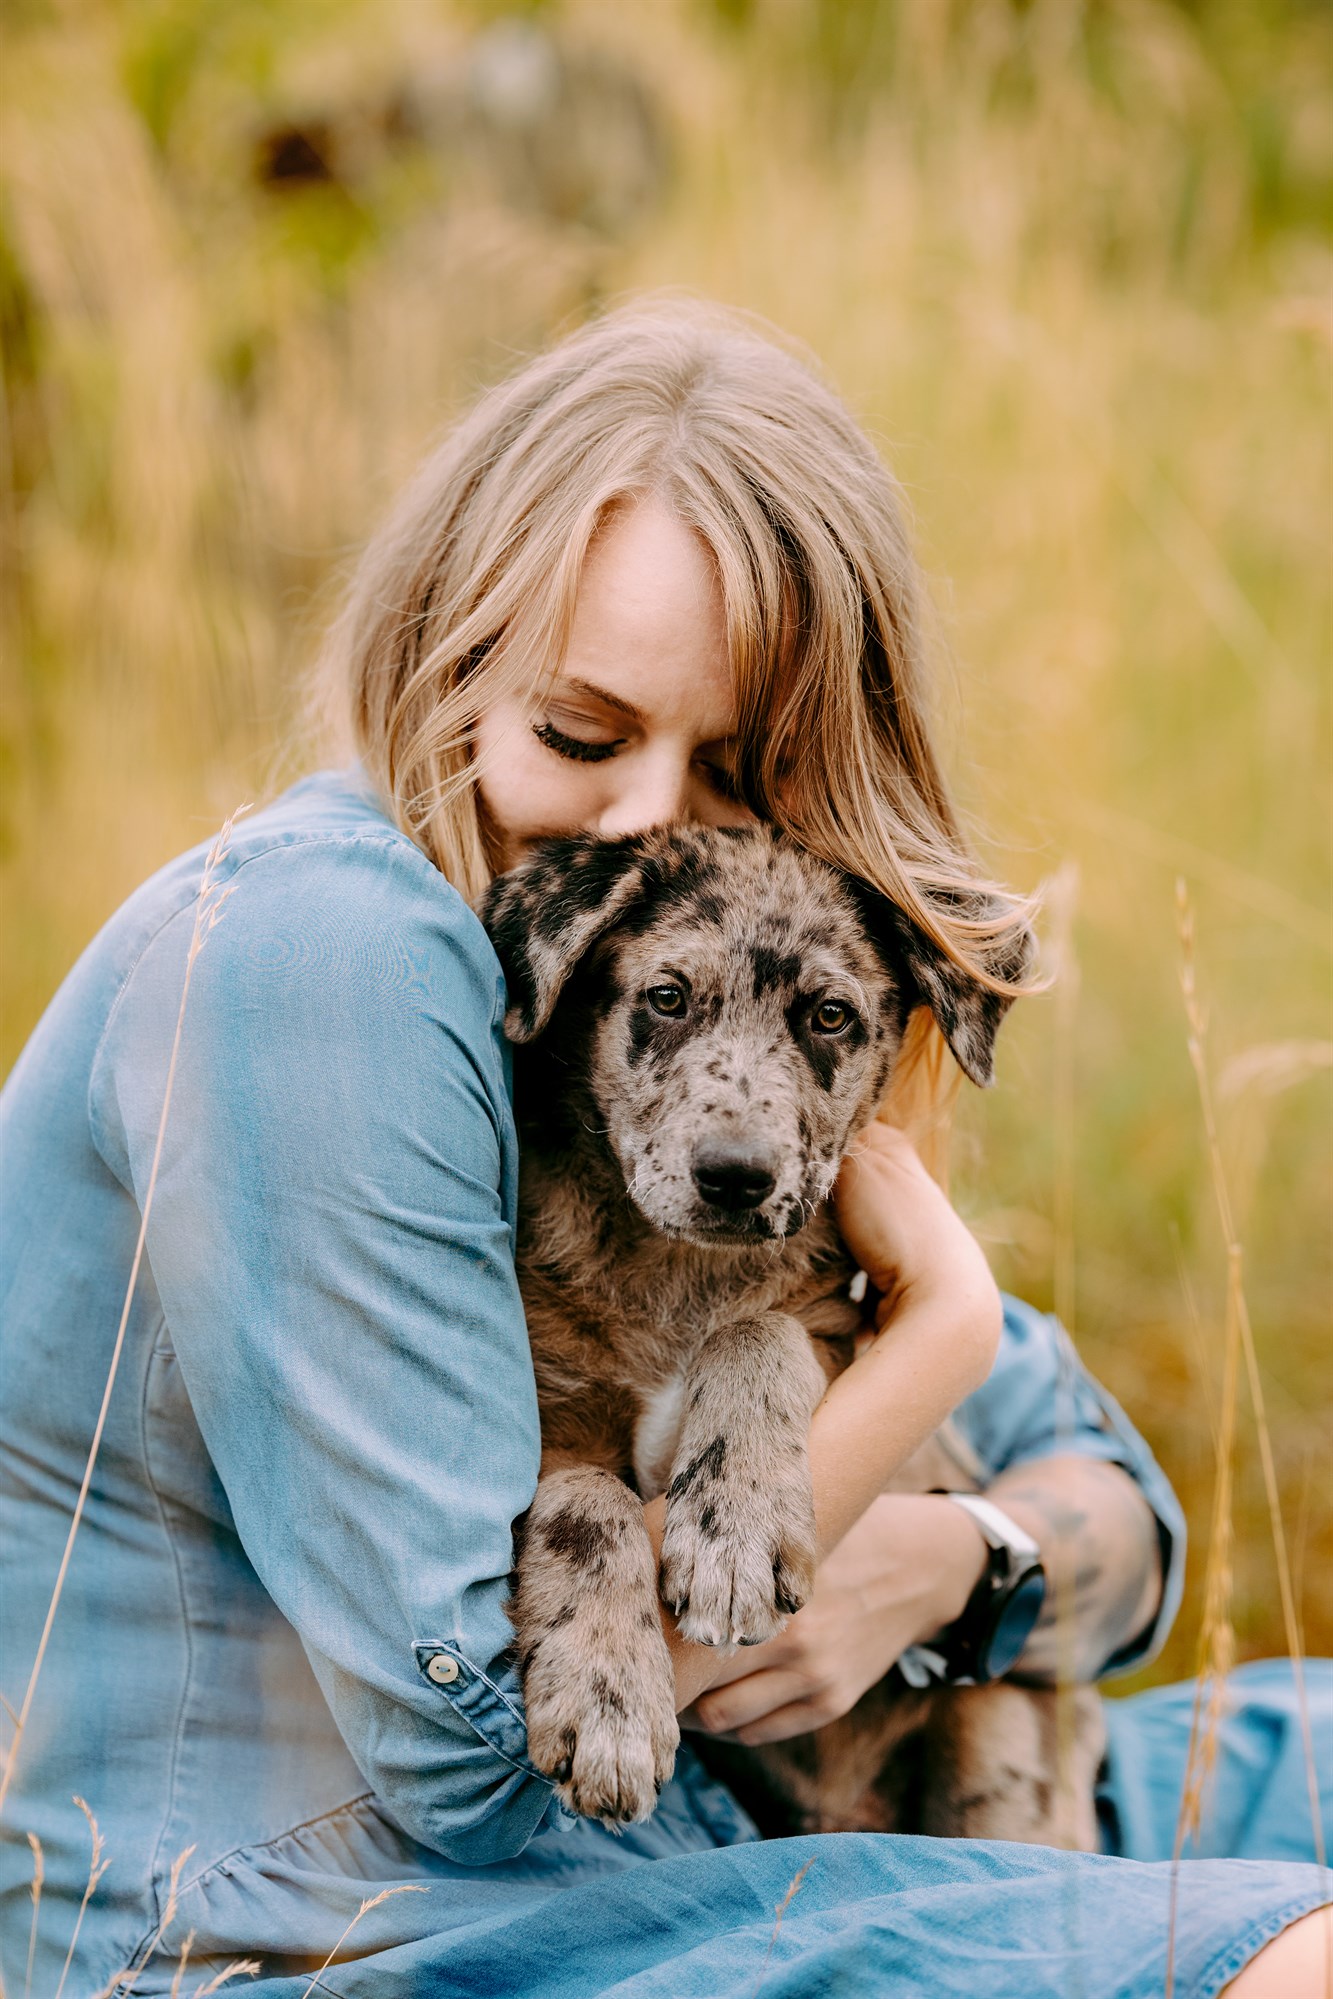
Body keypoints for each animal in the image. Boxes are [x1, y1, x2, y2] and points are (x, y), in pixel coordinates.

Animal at [485, 823, 1103, 1839]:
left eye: (829, 1016)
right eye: (667, 997)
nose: (734, 1177)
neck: (677, 1271)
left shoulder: (837, 1328)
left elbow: (756, 1336)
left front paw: (731, 1533)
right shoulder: (540, 1406)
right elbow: (583, 1503)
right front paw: (607, 1700)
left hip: (1005, 1753)